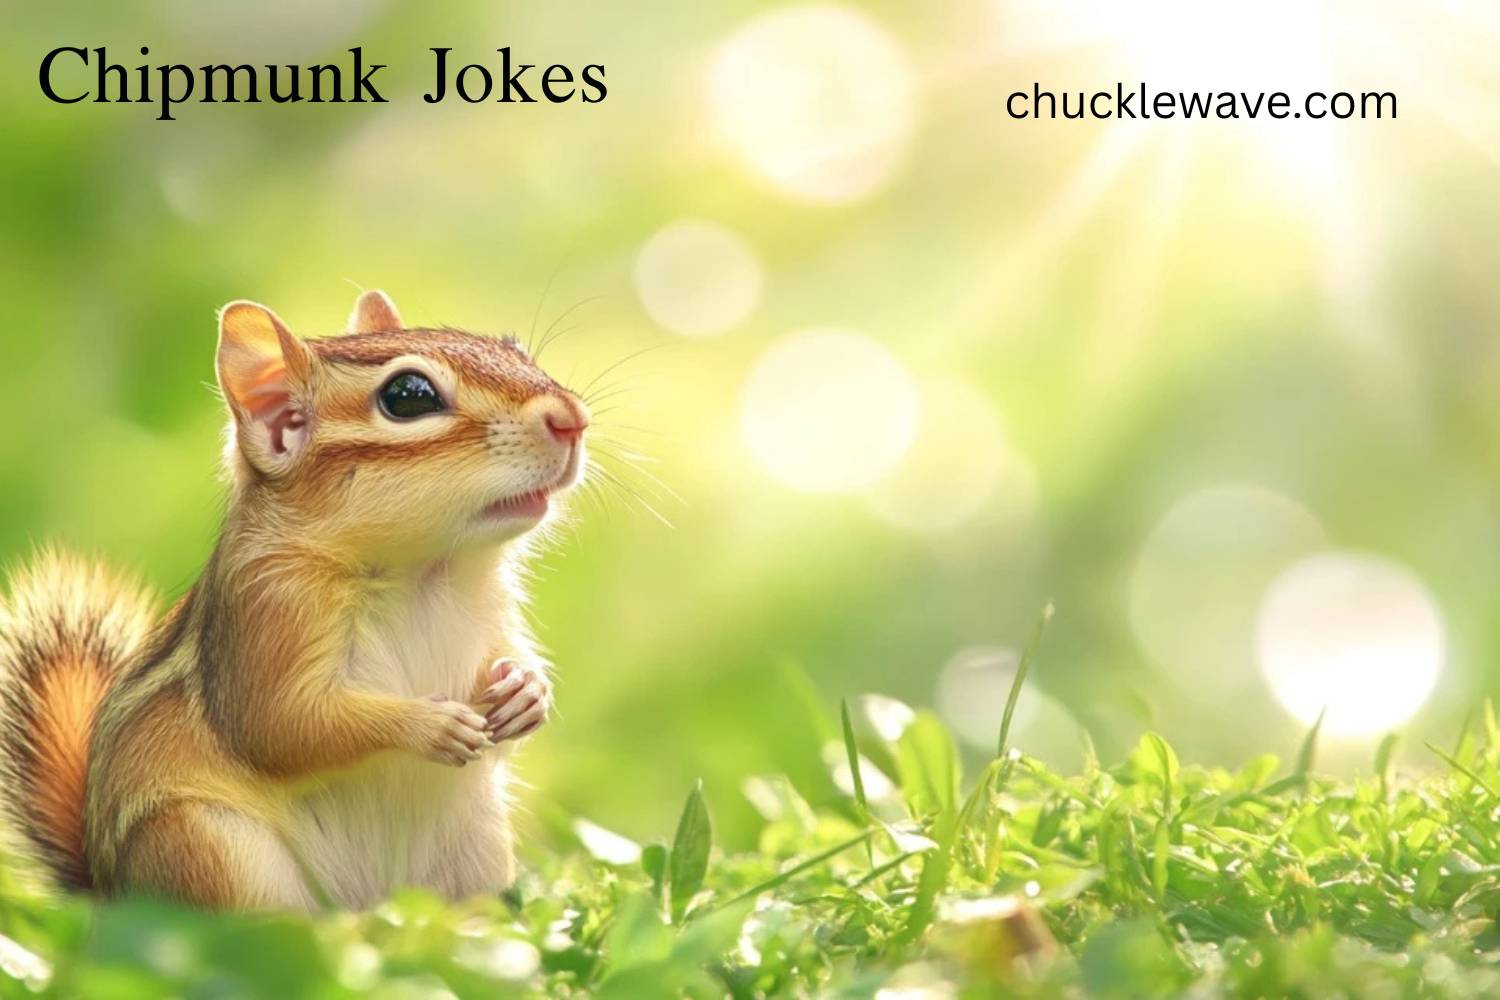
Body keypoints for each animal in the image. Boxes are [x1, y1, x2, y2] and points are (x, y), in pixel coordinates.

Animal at [0, 290, 589, 909]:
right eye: (408, 396)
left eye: (515, 348)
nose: (573, 419)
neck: (422, 571)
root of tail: (105, 897)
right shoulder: (269, 606)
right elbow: (284, 725)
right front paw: (429, 726)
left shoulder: (496, 611)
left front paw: (527, 690)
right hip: (211, 848)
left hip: (476, 853)